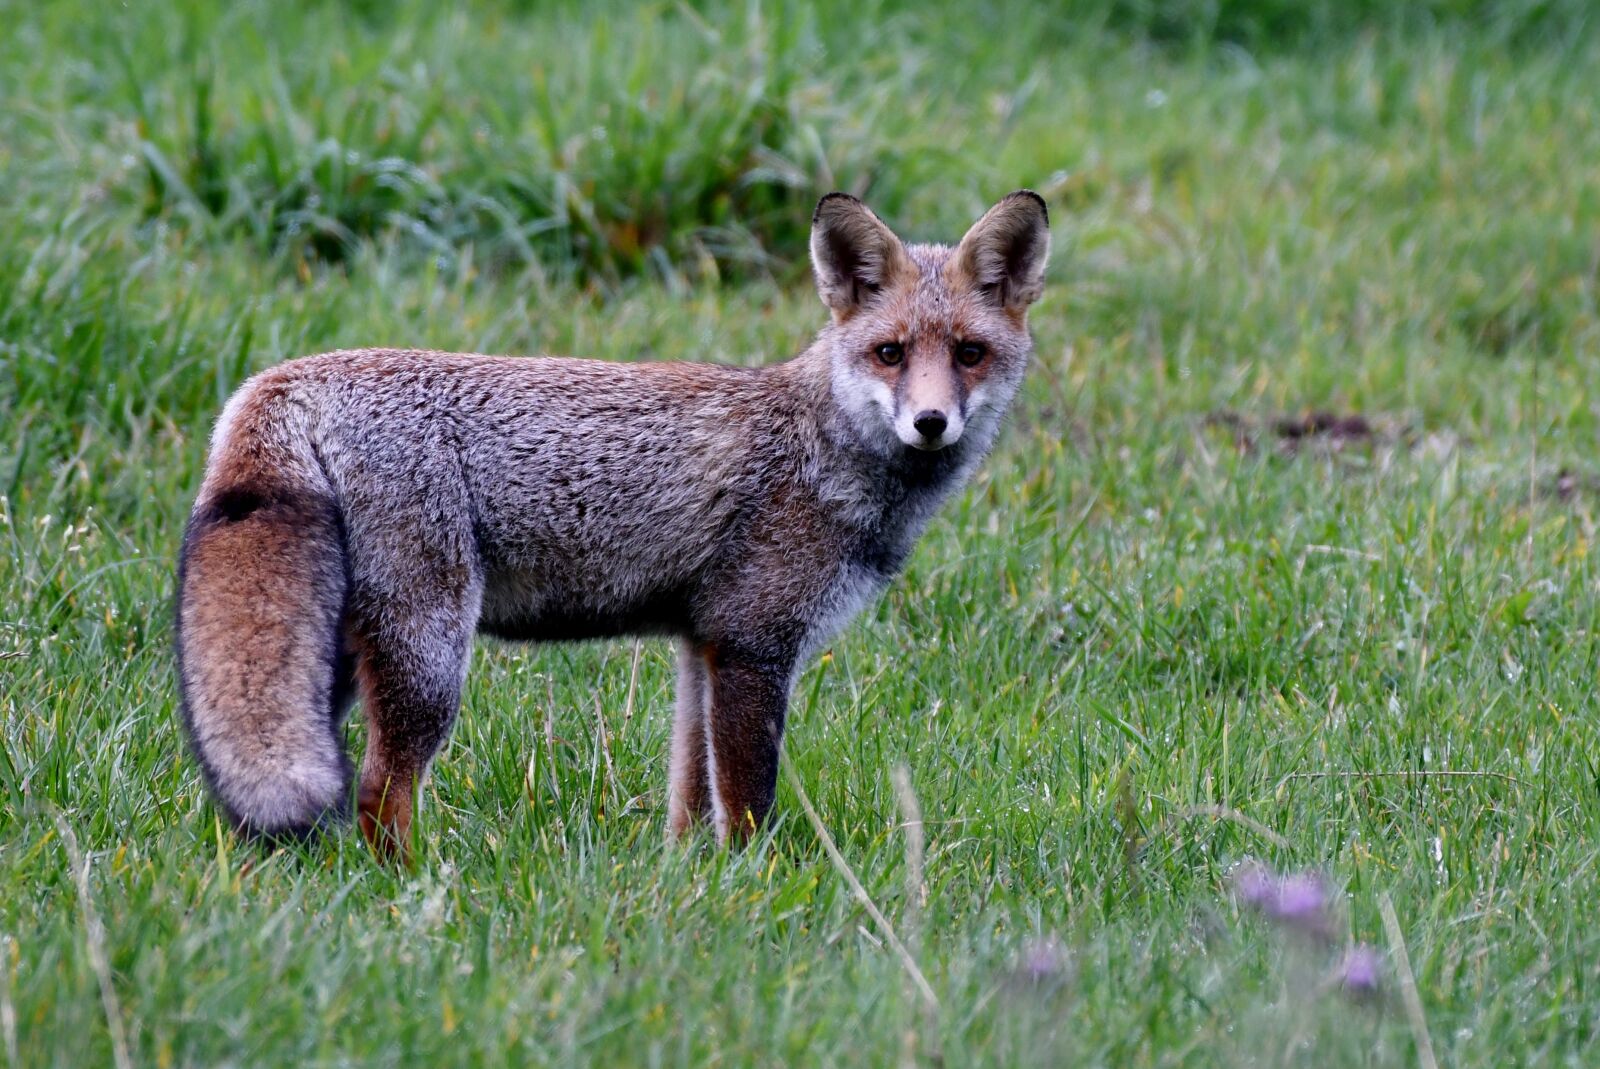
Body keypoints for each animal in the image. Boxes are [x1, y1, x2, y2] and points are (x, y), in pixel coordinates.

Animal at [175, 190, 1049, 858]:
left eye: (968, 353)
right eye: (890, 353)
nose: (931, 423)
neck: (820, 446)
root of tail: (284, 378)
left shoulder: (703, 646)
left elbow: (692, 797)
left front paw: (693, 880)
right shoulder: (754, 646)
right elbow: (749, 804)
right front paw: (755, 889)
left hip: (338, 666)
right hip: (429, 657)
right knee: (378, 790)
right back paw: (412, 884)